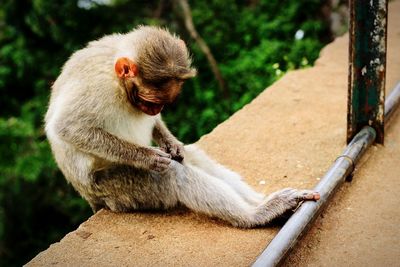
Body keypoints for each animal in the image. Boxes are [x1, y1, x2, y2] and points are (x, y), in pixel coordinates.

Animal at [44, 26, 318, 229]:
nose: (154, 111)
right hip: (114, 189)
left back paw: (262, 201)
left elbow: (175, 148)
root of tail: (92, 198)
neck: (117, 79)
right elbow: (68, 127)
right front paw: (147, 157)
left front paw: (171, 143)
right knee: (172, 175)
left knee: (191, 158)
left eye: (161, 104)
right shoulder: (97, 87)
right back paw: (254, 215)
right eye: (149, 101)